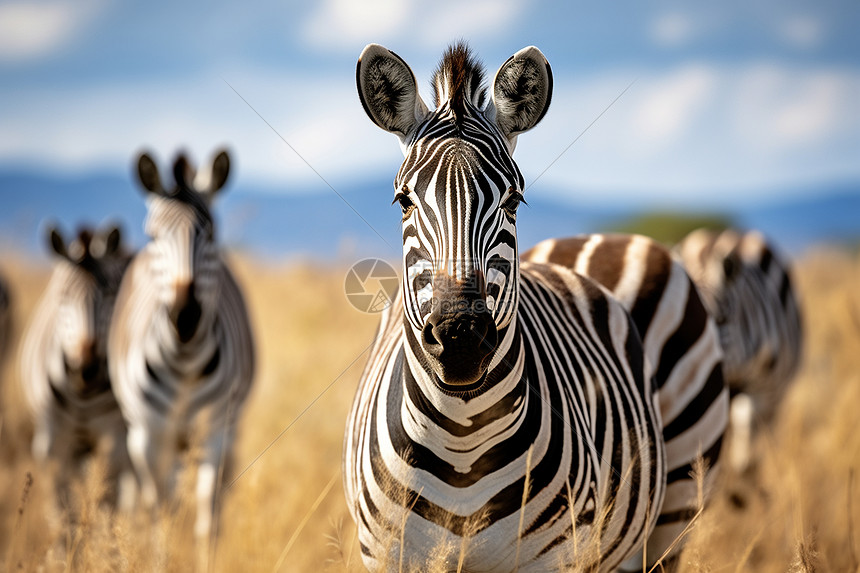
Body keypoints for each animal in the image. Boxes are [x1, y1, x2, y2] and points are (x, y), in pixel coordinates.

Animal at [18, 223, 133, 510]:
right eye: (62, 297)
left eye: (110, 296)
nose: (86, 370)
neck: (83, 395)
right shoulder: (52, 440)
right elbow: (62, 506)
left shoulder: (113, 437)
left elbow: (105, 499)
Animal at [108, 150, 255, 552]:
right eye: (153, 235)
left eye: (211, 233)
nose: (185, 316)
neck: (185, 361)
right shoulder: (146, 433)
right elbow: (161, 511)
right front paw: (160, 555)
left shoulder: (218, 426)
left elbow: (208, 511)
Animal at [342, 42, 664, 568]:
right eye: (403, 201)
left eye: (513, 202)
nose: (459, 338)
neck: (461, 442)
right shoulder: (388, 555)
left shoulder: (552, 557)